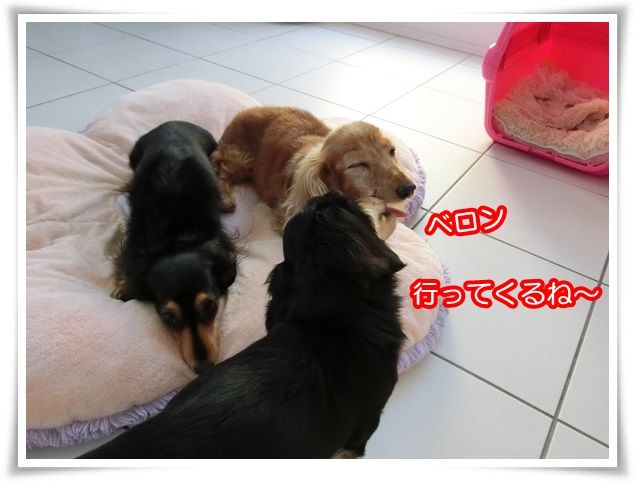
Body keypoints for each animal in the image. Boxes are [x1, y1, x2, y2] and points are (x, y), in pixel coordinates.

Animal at [112, 121, 237, 374]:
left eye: (210, 305)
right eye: (169, 317)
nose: (204, 368)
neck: (175, 237)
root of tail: (173, 123)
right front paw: (123, 286)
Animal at [211, 106, 417, 229]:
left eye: (392, 151)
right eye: (358, 164)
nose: (409, 188)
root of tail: (244, 111)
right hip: (240, 159)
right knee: (221, 173)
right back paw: (225, 198)